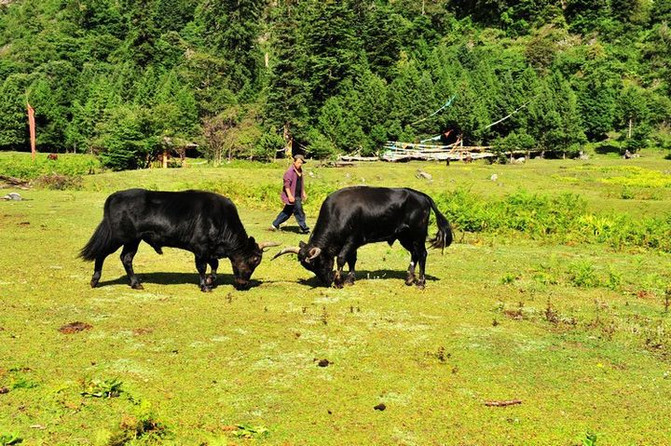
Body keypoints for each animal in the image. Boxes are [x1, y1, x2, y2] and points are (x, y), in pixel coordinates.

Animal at [80, 189, 278, 290]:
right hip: (118, 236)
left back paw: (136, 284)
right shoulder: (200, 248)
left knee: (126, 258)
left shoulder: (210, 251)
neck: (221, 219)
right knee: (101, 254)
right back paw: (95, 281)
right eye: (254, 259)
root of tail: (114, 196)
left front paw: (210, 280)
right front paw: (205, 285)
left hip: (133, 240)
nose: (243, 284)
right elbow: (202, 266)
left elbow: (214, 266)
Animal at [274, 186, 456, 288]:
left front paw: (339, 281)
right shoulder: (352, 244)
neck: (338, 212)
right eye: (309, 267)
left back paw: (420, 283)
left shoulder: (352, 240)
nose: (326, 282)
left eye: (317, 263)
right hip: (404, 236)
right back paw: (409, 279)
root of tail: (422, 196)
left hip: (417, 234)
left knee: (423, 254)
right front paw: (349, 279)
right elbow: (351, 260)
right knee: (415, 254)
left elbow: (342, 258)